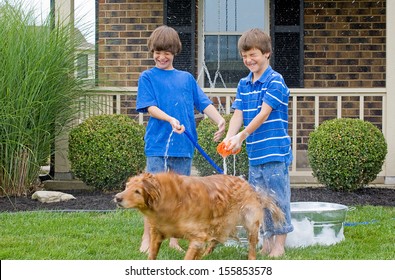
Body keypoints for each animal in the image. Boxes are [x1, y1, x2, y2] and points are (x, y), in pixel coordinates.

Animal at [114, 172, 284, 262]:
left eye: (137, 191)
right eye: (127, 187)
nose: (117, 198)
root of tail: (247, 184)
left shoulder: (197, 237)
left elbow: (188, 258)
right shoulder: (157, 233)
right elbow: (151, 255)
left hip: (249, 222)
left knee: (252, 244)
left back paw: (251, 258)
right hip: (220, 225)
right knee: (215, 241)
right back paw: (206, 255)